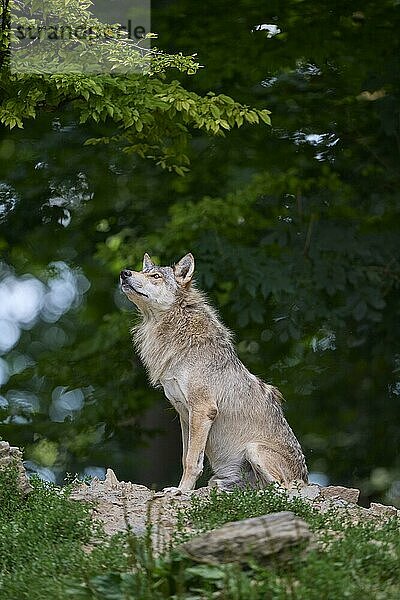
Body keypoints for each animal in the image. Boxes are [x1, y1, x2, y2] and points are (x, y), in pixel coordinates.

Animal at [120, 253, 308, 492]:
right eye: (142, 271)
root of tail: (305, 478)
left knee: (283, 489)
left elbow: (192, 461)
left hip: (255, 450)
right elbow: (185, 457)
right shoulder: (184, 414)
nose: (124, 273)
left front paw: (182, 491)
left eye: (155, 276)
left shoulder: (202, 409)